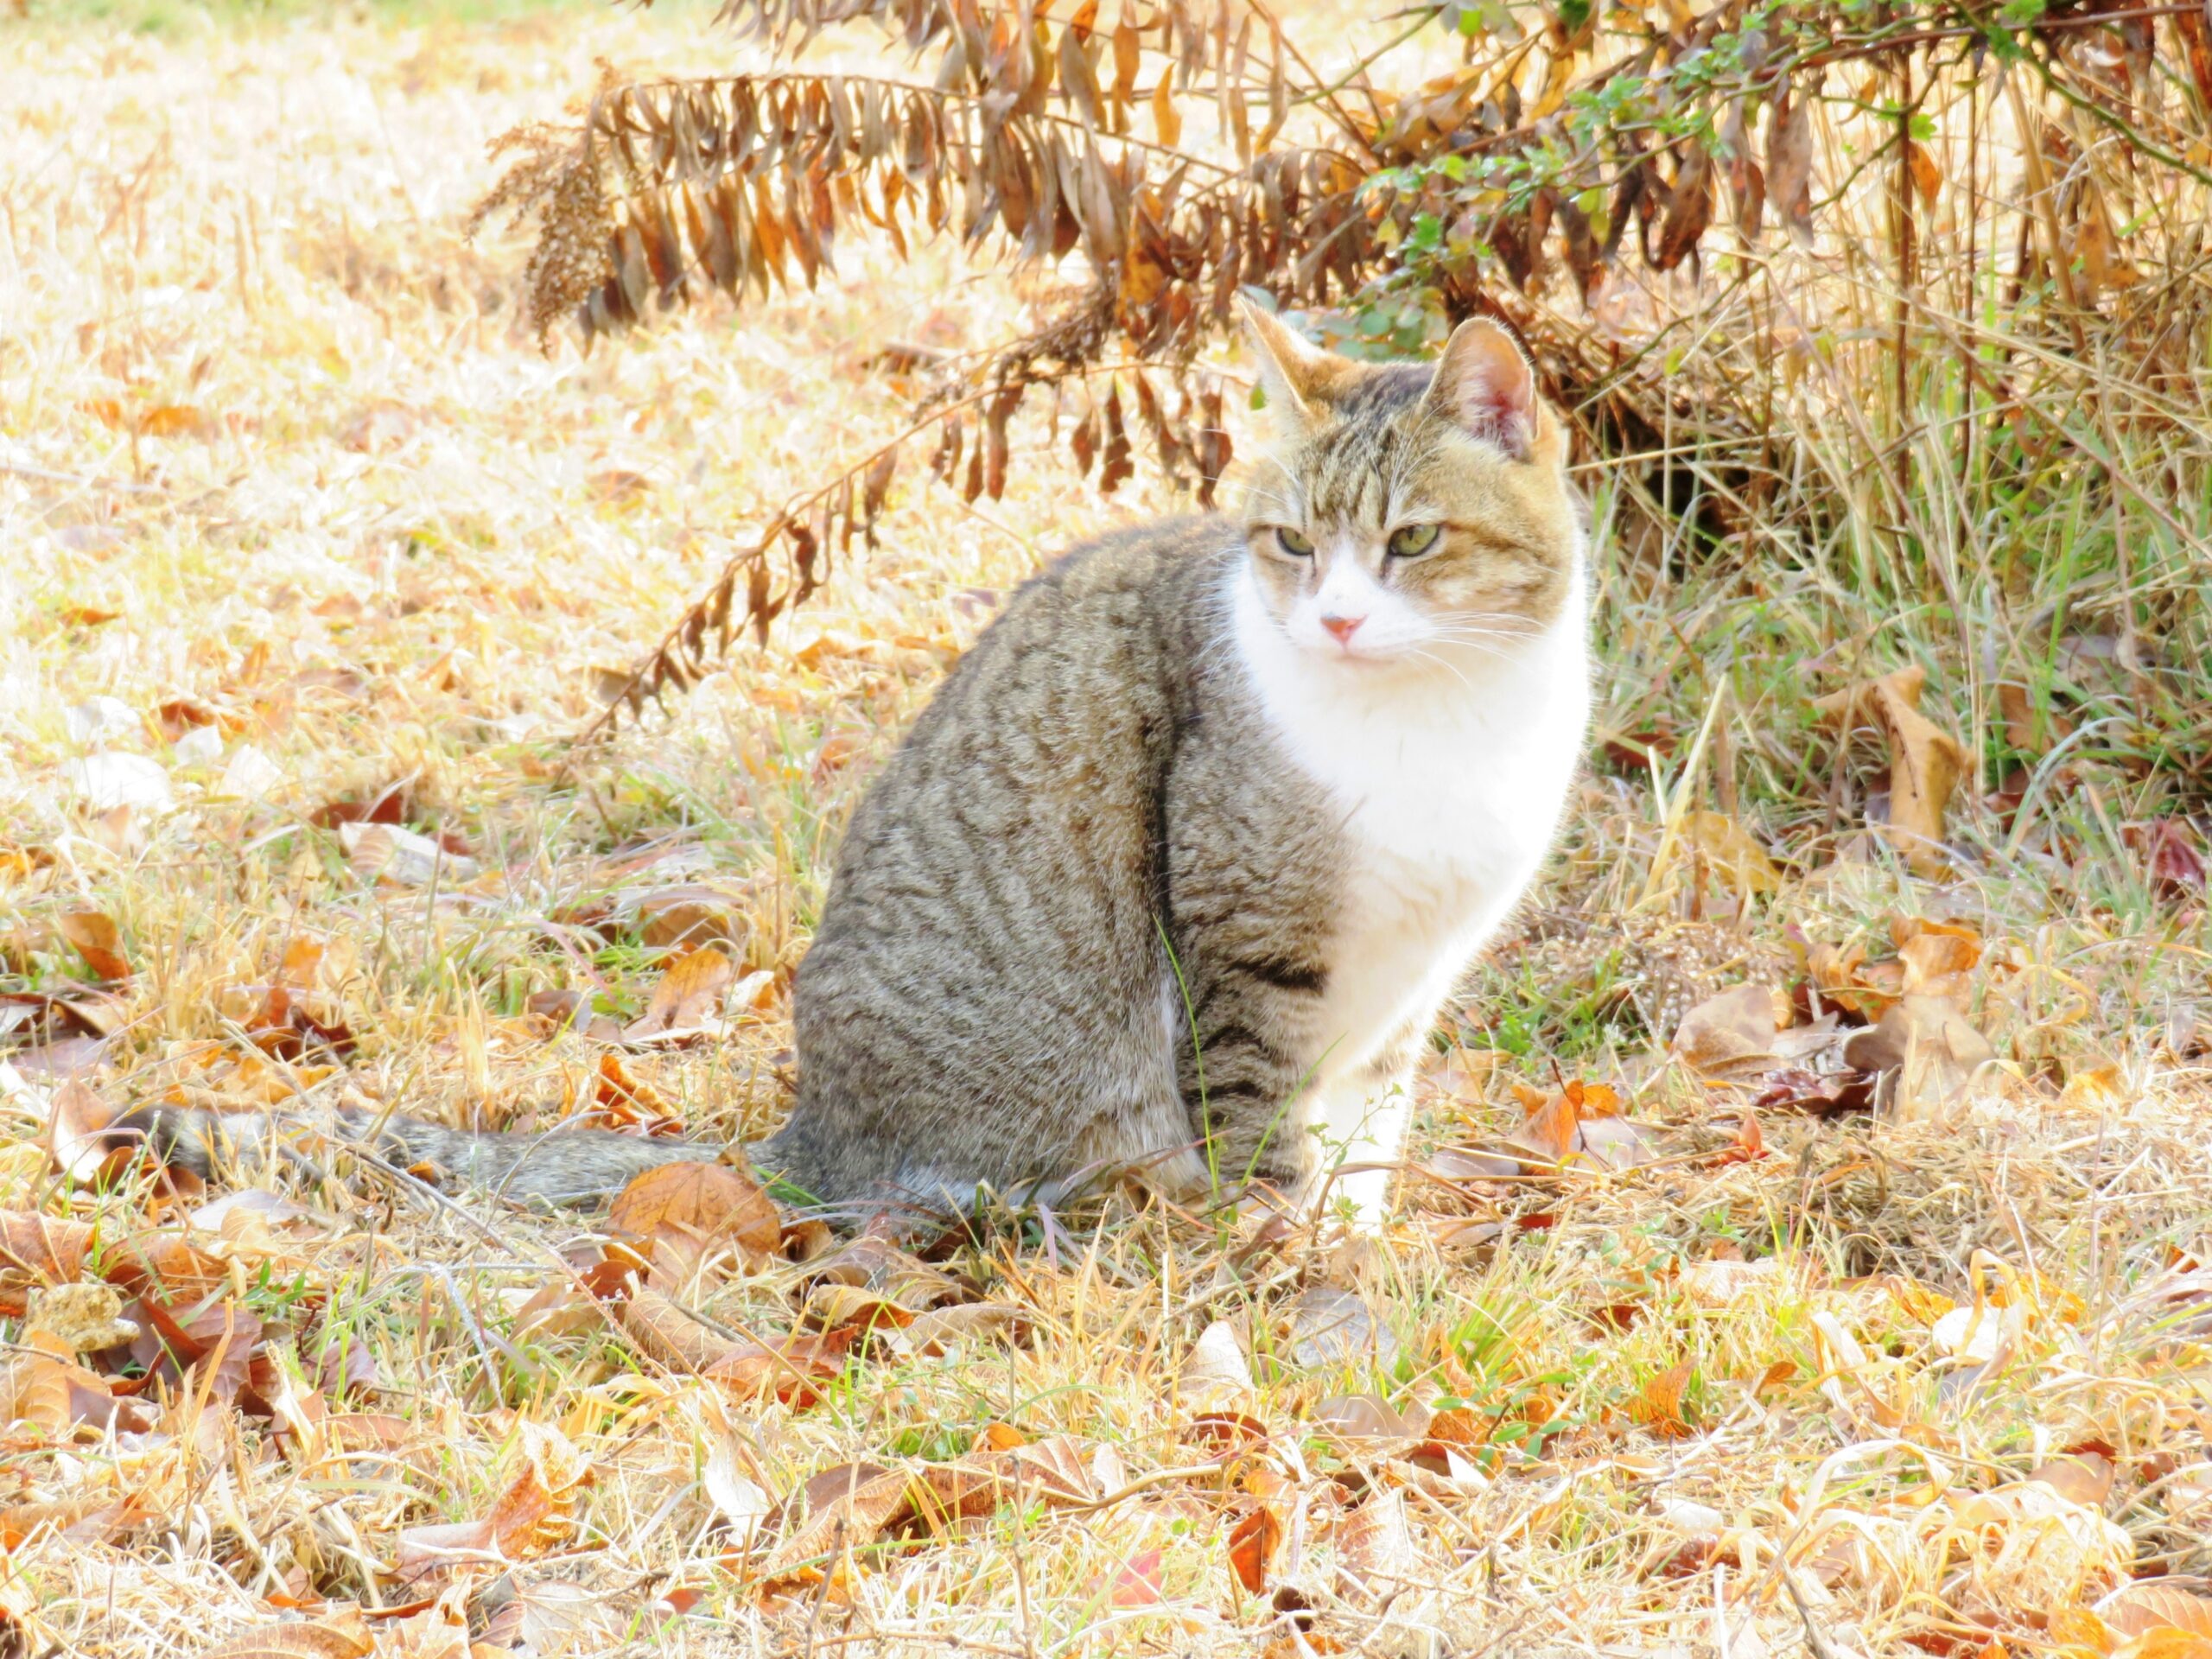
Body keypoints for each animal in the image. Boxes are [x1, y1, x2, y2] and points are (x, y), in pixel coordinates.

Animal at [121, 309, 1592, 1238]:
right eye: (1291, 543)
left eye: (1411, 542)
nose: (1335, 619)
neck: (1437, 715)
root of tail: (808, 1127)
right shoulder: (1248, 941)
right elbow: (1263, 1128)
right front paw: (1286, 1262)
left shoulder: (1412, 979)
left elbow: (1369, 1132)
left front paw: (1358, 1240)